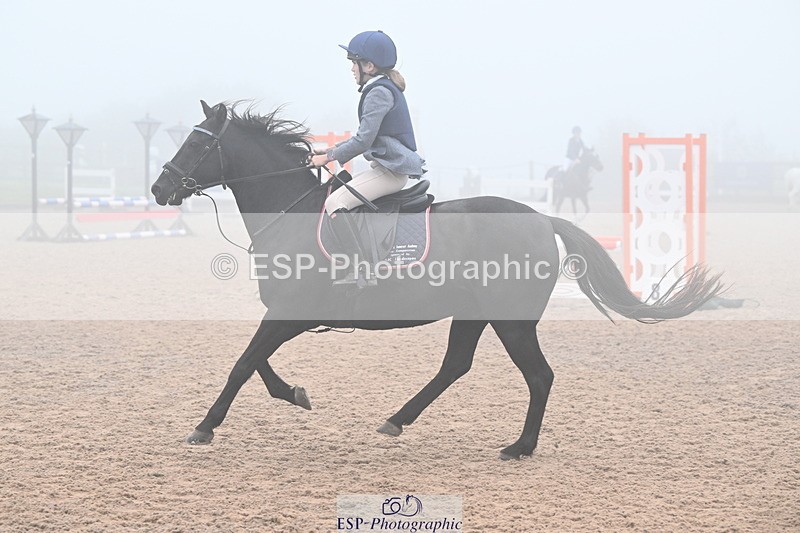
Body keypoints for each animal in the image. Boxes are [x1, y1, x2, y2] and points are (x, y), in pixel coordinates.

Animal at [150, 101, 723, 460]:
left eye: (196, 145)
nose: (159, 189)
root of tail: (542, 219)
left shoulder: (290, 314)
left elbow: (243, 363)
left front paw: (205, 427)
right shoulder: (284, 315)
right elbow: (255, 362)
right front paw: (294, 393)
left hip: (511, 321)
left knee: (538, 376)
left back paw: (519, 448)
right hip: (472, 314)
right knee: (456, 366)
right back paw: (398, 420)